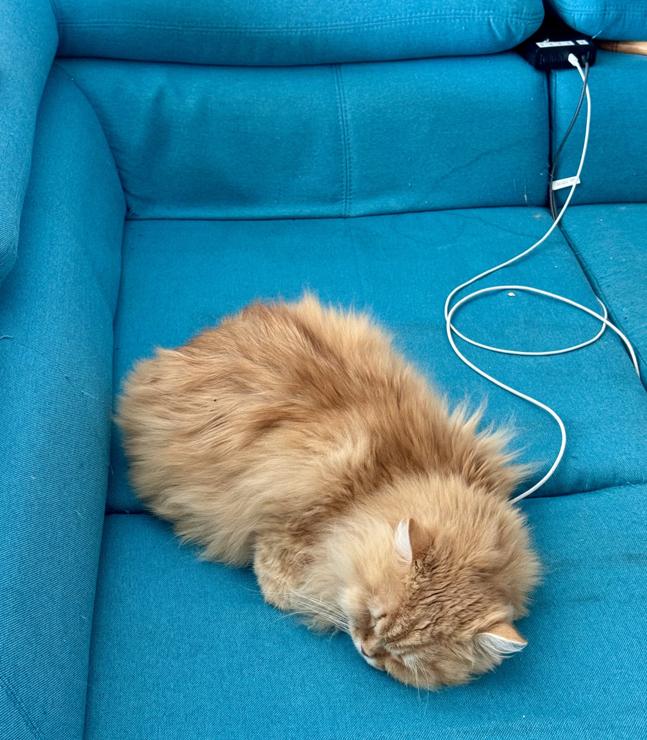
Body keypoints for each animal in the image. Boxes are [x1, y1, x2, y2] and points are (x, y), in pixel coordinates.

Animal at [117, 294, 540, 688]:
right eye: (373, 615)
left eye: (403, 659)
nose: (368, 651)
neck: (388, 483)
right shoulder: (285, 522)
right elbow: (284, 583)